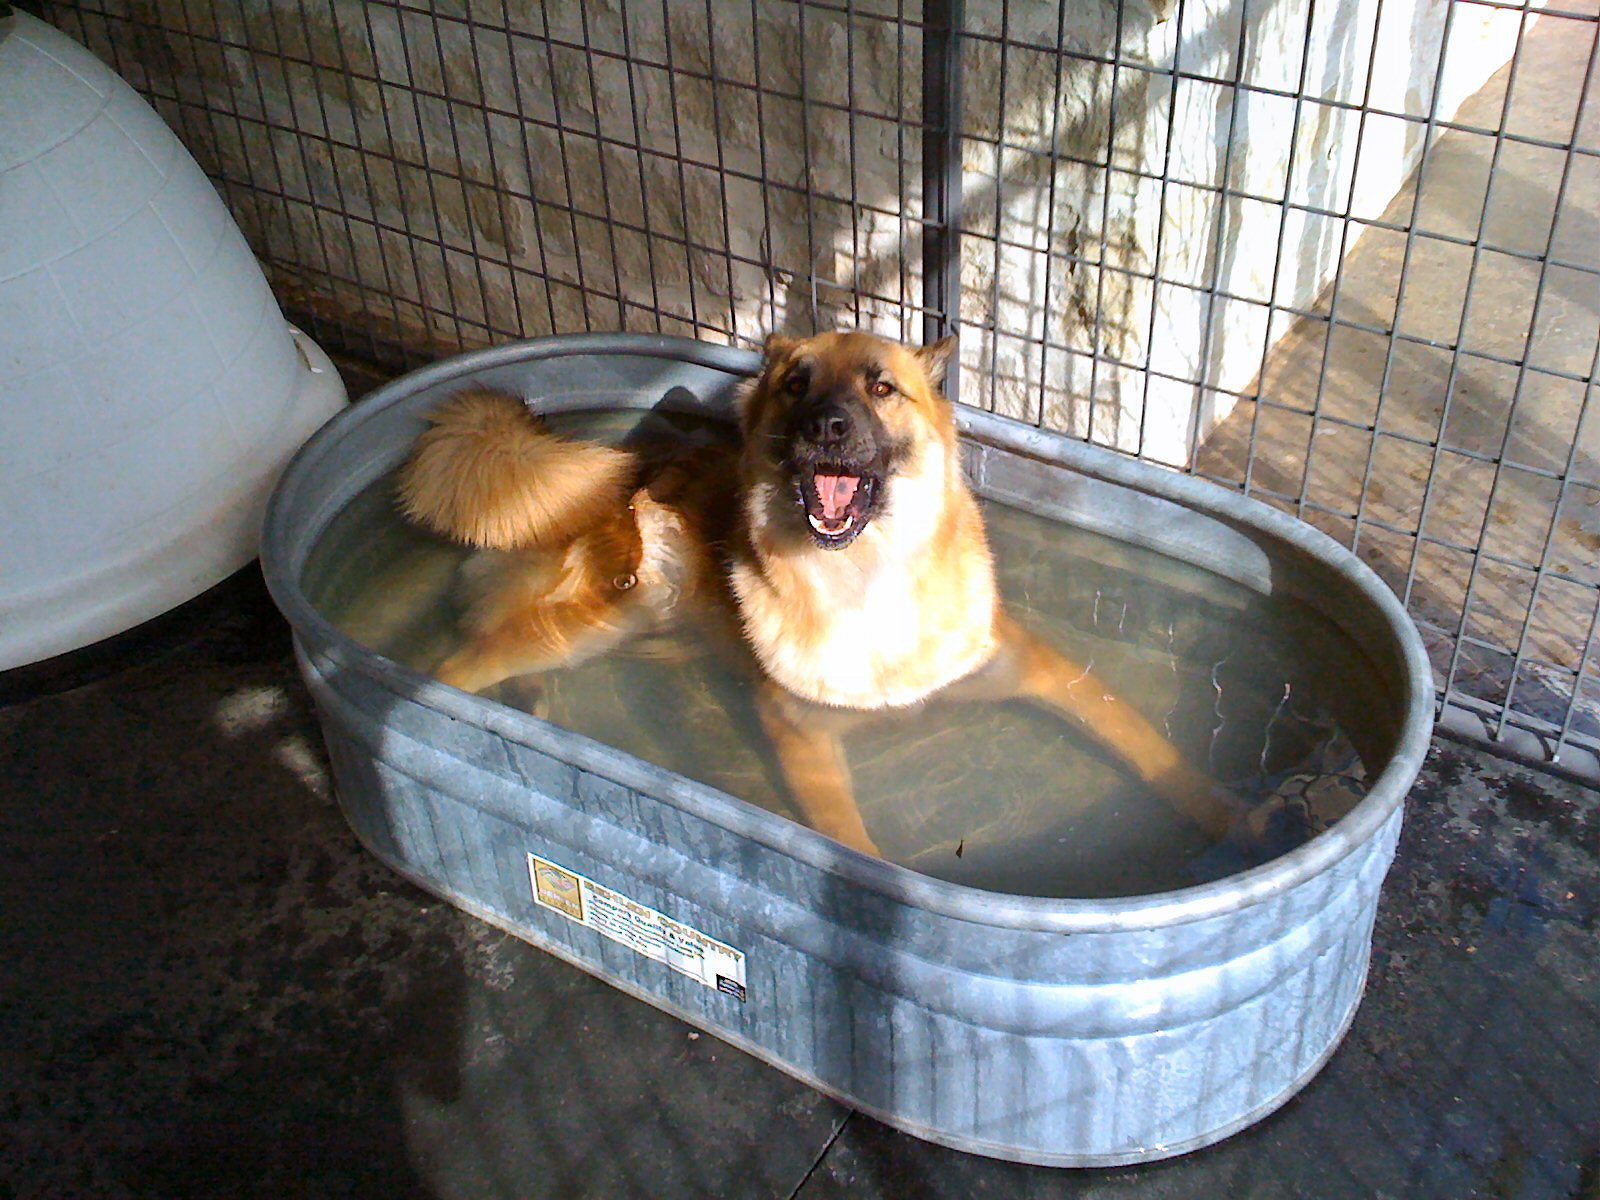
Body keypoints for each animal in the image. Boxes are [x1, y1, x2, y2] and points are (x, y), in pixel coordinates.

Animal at [398, 331, 1235, 856]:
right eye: (795, 385)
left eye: (882, 387)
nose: (826, 426)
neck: (868, 581)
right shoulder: (801, 736)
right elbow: (858, 845)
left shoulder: (1038, 669)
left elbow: (1146, 744)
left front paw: (1234, 818)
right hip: (606, 613)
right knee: (454, 665)